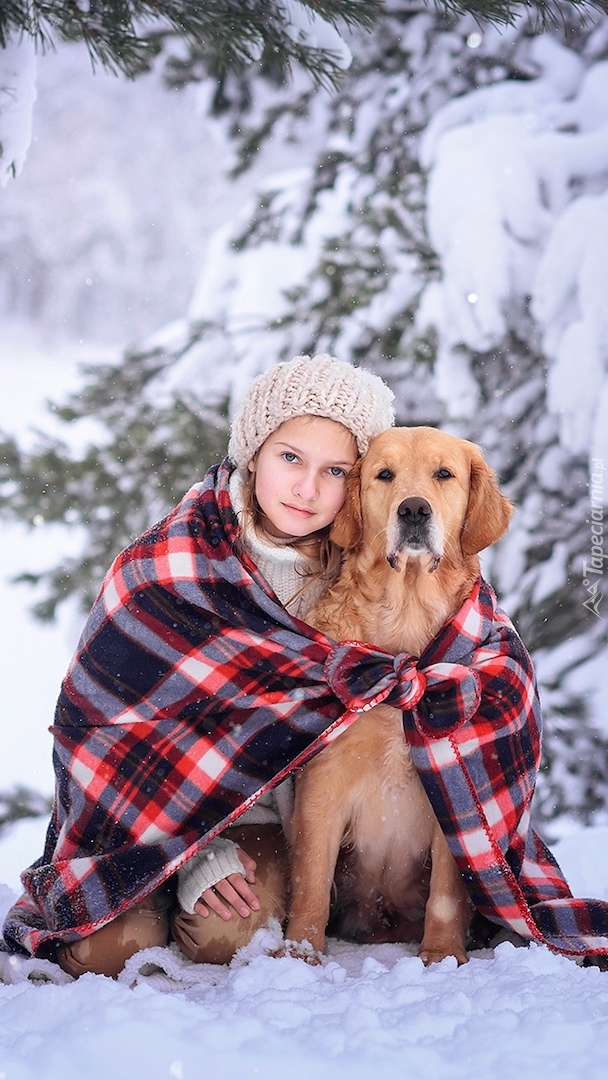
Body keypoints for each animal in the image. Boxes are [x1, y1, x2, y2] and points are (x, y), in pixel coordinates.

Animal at [287, 425, 514, 967]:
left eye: (444, 474)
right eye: (384, 474)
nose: (413, 510)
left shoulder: (456, 786)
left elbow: (448, 893)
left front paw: (441, 955)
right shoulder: (323, 781)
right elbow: (310, 880)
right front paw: (298, 956)